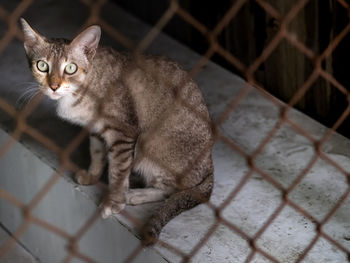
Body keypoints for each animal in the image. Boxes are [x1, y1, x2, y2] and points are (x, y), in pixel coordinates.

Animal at [20, 18, 215, 245]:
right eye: (42, 65)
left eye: (70, 68)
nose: (54, 86)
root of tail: (209, 167)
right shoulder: (95, 128)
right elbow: (97, 152)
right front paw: (93, 175)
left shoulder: (124, 132)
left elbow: (118, 170)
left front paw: (114, 201)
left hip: (150, 142)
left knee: (171, 189)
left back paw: (136, 194)